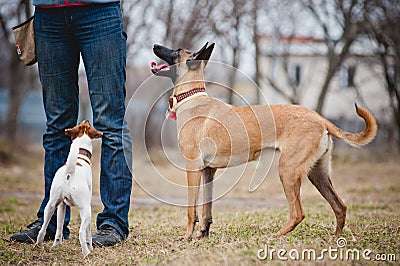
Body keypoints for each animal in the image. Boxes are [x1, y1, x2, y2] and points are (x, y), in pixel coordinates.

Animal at [36, 120, 102, 256]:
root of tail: (69, 173)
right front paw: (91, 246)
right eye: (86, 124)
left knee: (43, 229)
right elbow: (88, 233)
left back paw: (39, 245)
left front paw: (57, 245)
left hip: (50, 206)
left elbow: (59, 228)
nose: (87, 120)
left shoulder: (61, 206)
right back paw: (86, 253)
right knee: (82, 233)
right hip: (86, 210)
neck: (79, 156)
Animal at [151, 43, 378, 239]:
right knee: (340, 206)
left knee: (298, 213)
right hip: (318, 174)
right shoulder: (208, 171)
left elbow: (192, 211)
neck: (192, 97)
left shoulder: (193, 168)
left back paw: (277, 235)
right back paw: (336, 238)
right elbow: (207, 210)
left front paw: (187, 236)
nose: (155, 45)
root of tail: (320, 118)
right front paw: (203, 235)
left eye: (177, 50)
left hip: (288, 170)